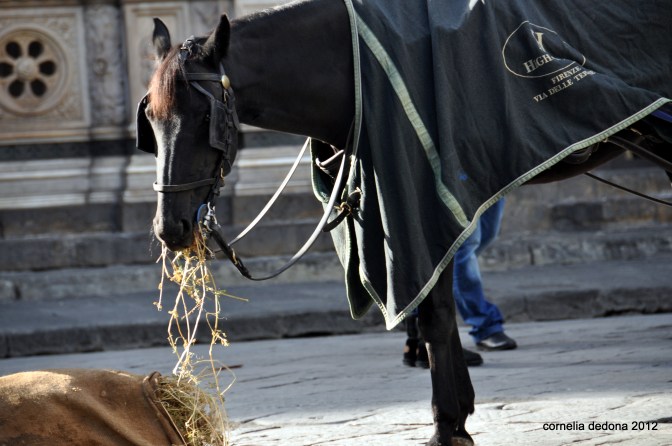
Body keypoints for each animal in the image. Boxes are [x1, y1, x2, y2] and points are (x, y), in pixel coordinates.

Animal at [137, 0, 671, 444]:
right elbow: (435, 303)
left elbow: (434, 310)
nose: (170, 228)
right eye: (152, 123)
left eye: (204, 116)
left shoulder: (426, 192)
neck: (350, 67)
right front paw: (455, 414)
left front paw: (448, 424)